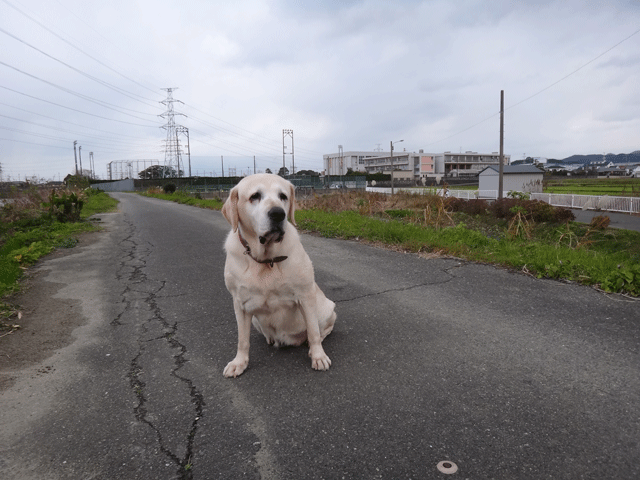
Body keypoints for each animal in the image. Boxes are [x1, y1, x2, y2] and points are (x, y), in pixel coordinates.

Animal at [222, 174, 338, 376]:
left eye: (283, 196)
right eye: (255, 196)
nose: (278, 214)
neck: (265, 259)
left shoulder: (306, 296)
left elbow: (314, 332)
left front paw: (318, 356)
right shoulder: (240, 304)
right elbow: (242, 340)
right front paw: (239, 362)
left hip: (327, 309)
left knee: (321, 330)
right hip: (255, 320)